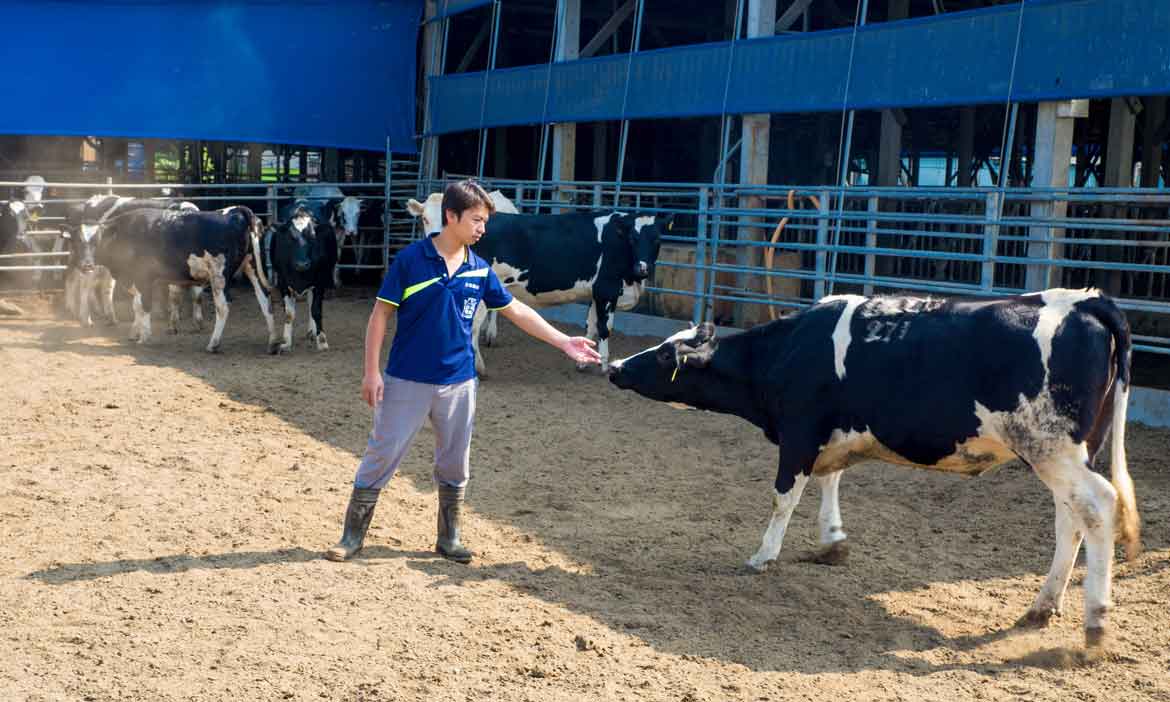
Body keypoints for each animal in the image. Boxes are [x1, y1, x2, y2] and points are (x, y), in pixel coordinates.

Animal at [95, 207, 267, 351]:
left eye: (94, 240)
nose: (88, 263)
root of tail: (236, 212)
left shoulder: (143, 279)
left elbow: (143, 306)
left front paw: (144, 337)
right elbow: (138, 306)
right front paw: (135, 333)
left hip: (219, 277)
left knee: (223, 308)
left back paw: (213, 344)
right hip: (253, 268)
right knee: (265, 300)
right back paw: (272, 342)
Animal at [259, 204, 339, 355]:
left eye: (313, 237)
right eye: (290, 238)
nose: (302, 264)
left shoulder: (320, 281)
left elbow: (316, 310)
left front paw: (322, 340)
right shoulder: (283, 282)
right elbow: (289, 314)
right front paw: (286, 343)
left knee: (311, 304)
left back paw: (313, 332)